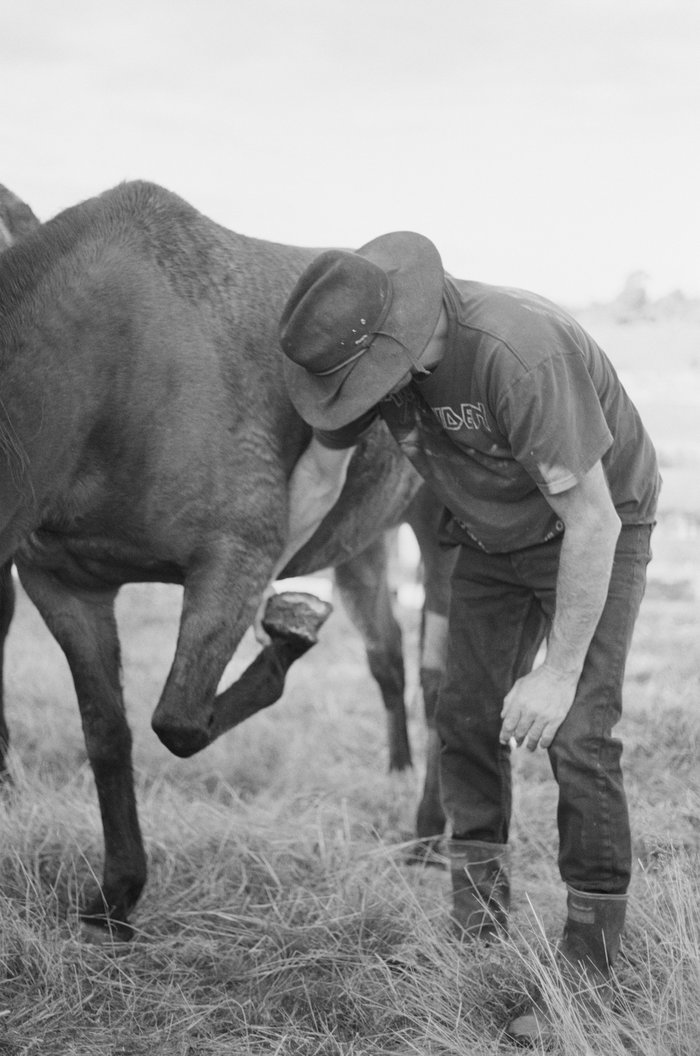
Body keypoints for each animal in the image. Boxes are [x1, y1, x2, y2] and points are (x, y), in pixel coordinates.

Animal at [0, 183, 451, 941]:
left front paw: (288, 642)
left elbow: (179, 722)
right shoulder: (63, 586)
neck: (110, 368)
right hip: (366, 549)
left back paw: (427, 833)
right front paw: (116, 898)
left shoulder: (236, 562)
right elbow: (109, 735)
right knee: (389, 658)